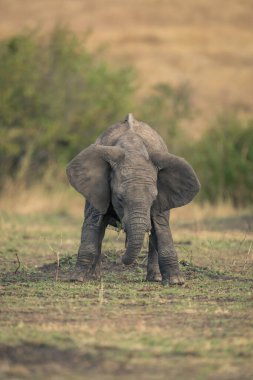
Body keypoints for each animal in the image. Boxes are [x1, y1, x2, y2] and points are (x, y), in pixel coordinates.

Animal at [66, 113, 201, 284]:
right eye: (119, 198)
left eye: (153, 199)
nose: (118, 260)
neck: (133, 149)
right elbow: (92, 223)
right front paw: (77, 279)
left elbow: (161, 227)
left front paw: (176, 282)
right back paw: (95, 277)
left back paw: (154, 279)